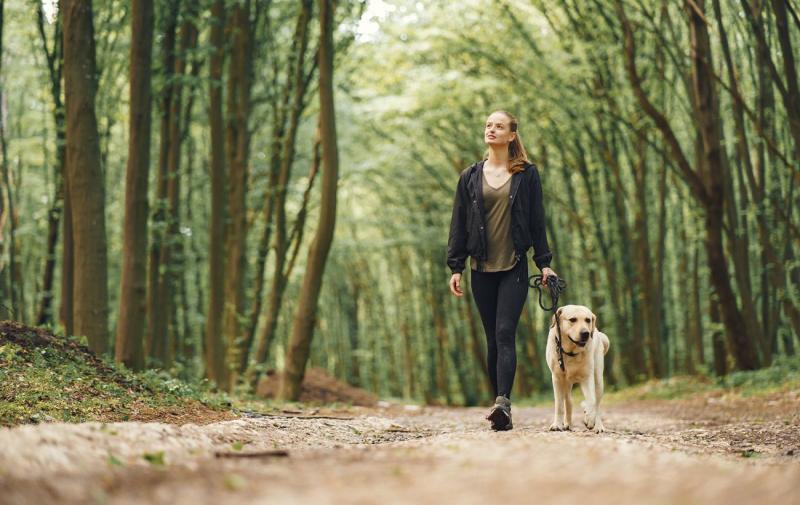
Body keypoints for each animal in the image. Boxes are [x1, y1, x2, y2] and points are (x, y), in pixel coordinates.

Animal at [548, 304, 608, 434]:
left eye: (588, 320)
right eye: (573, 320)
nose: (586, 333)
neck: (570, 353)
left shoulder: (587, 377)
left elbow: (592, 400)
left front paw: (589, 419)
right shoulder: (557, 378)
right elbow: (559, 405)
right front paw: (557, 425)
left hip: (598, 379)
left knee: (597, 403)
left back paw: (598, 425)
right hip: (566, 384)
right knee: (568, 401)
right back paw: (568, 424)